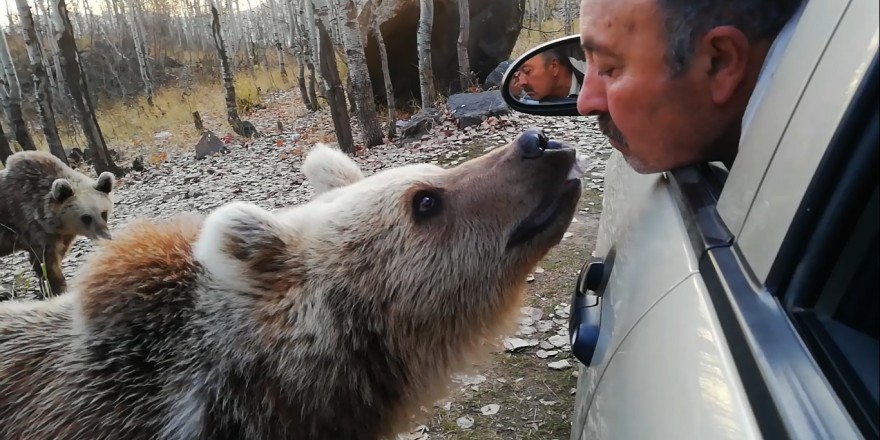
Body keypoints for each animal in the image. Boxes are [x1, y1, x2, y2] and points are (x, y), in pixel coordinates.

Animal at [0, 150, 115, 298]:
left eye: (104, 213)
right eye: (86, 218)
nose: (106, 237)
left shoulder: (62, 235)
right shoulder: (31, 225)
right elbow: (46, 264)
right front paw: (57, 289)